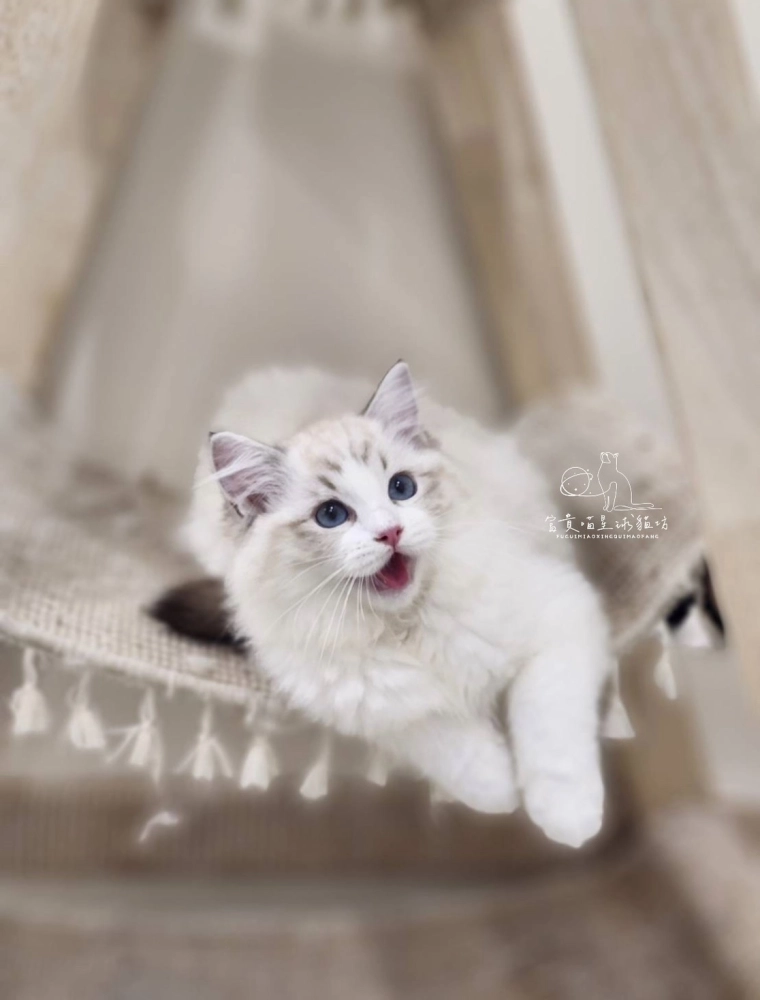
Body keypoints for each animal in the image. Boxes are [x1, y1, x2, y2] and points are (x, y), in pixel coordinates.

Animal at [157, 363, 613, 847]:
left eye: (401, 488)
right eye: (332, 515)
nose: (390, 532)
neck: (404, 623)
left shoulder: (561, 618)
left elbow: (550, 735)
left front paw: (568, 819)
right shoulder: (374, 708)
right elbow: (450, 745)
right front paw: (499, 791)